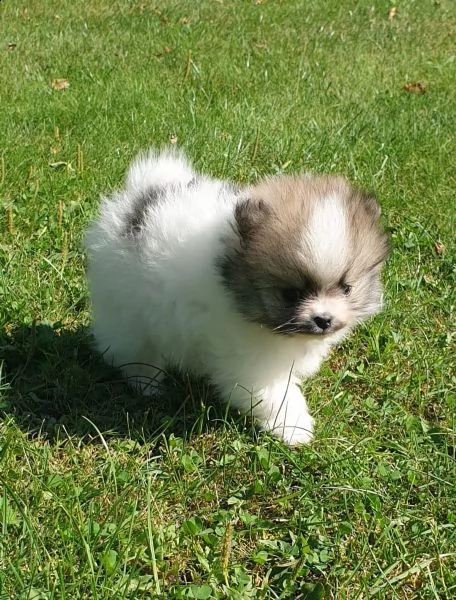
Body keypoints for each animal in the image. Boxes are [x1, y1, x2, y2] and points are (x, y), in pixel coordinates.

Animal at [83, 150, 386, 446]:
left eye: (346, 288)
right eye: (290, 294)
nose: (324, 319)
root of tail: (140, 197)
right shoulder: (249, 358)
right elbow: (276, 393)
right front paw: (295, 428)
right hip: (125, 306)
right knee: (132, 346)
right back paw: (146, 381)